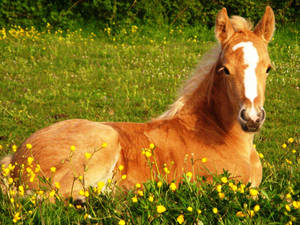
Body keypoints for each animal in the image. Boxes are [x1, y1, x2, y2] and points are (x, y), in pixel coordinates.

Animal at [1, 6, 276, 200]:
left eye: (268, 68)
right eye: (225, 69)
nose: (252, 118)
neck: (217, 133)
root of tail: (16, 159)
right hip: (103, 139)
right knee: (47, 194)